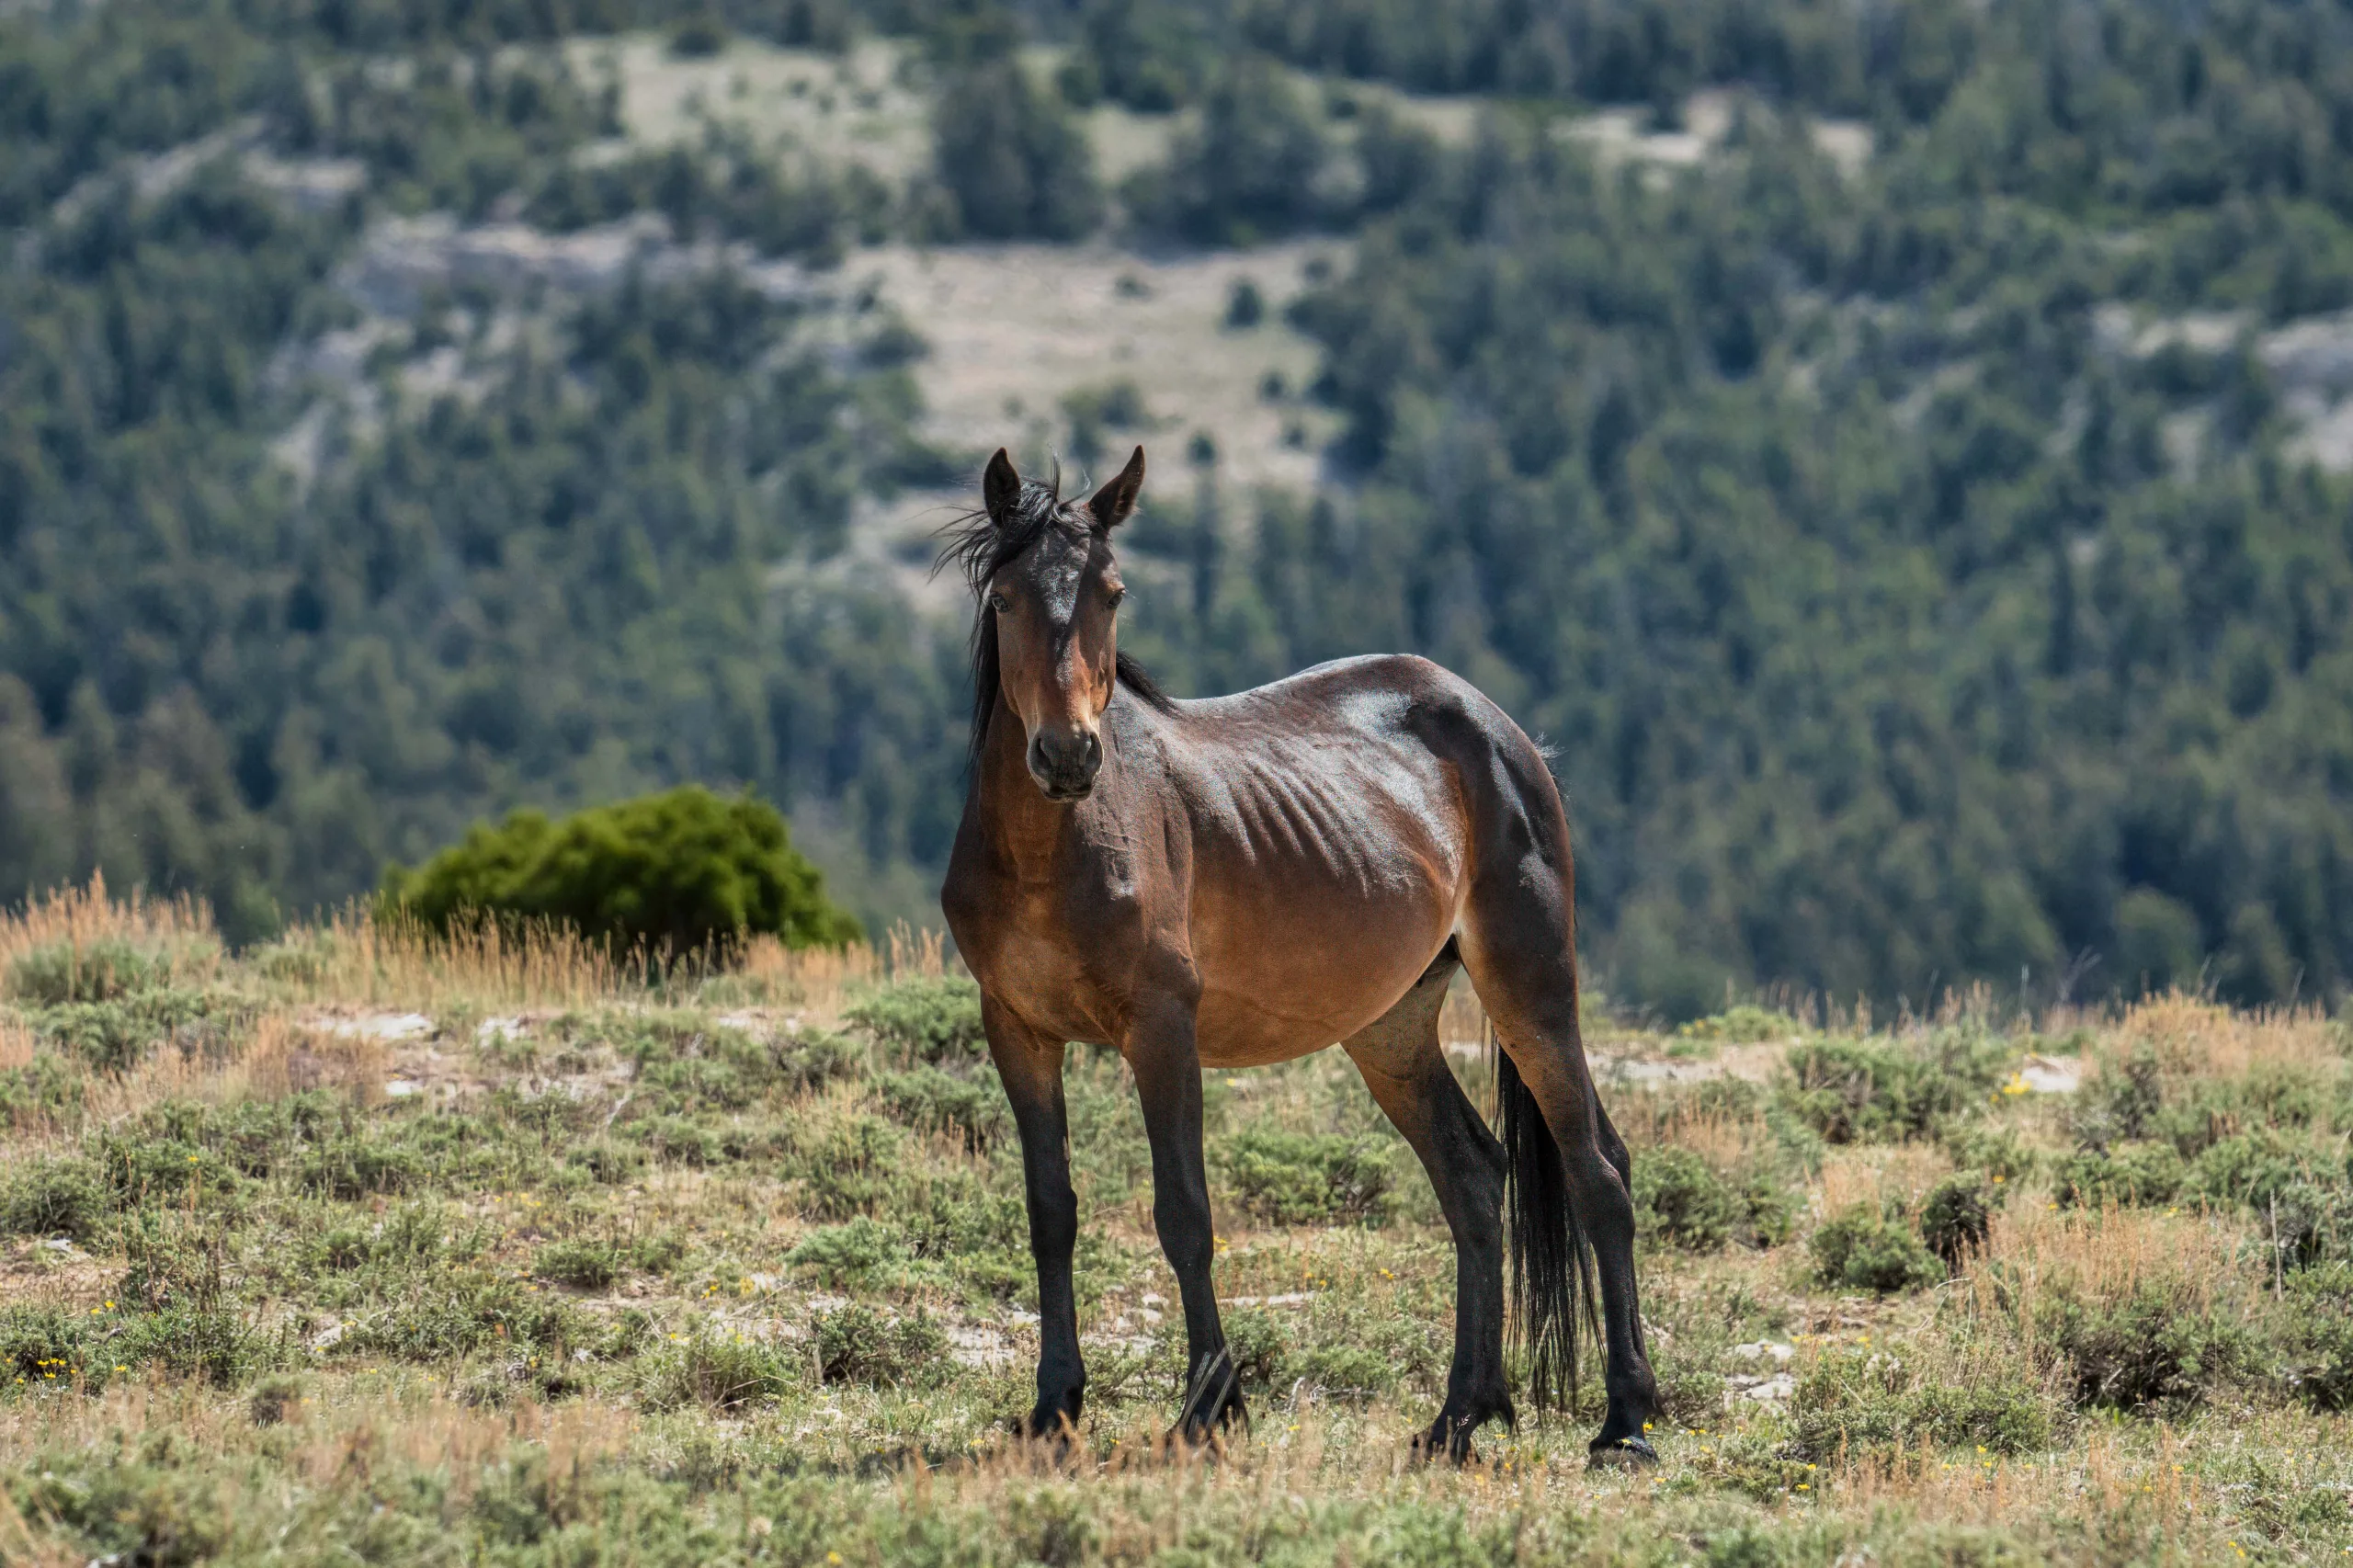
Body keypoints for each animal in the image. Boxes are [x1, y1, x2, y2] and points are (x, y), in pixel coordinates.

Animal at [937, 445, 1659, 1464]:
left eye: (1112, 593)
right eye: (1004, 599)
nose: (1069, 755)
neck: (1053, 852)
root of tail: (1496, 726)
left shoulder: (1160, 1031)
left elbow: (1184, 1213)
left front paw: (1209, 1409)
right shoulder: (1017, 1031)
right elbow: (1052, 1214)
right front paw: (1054, 1408)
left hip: (1531, 985)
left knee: (1598, 1171)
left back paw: (1625, 1420)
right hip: (1390, 1027)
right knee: (1475, 1180)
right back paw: (1458, 1417)